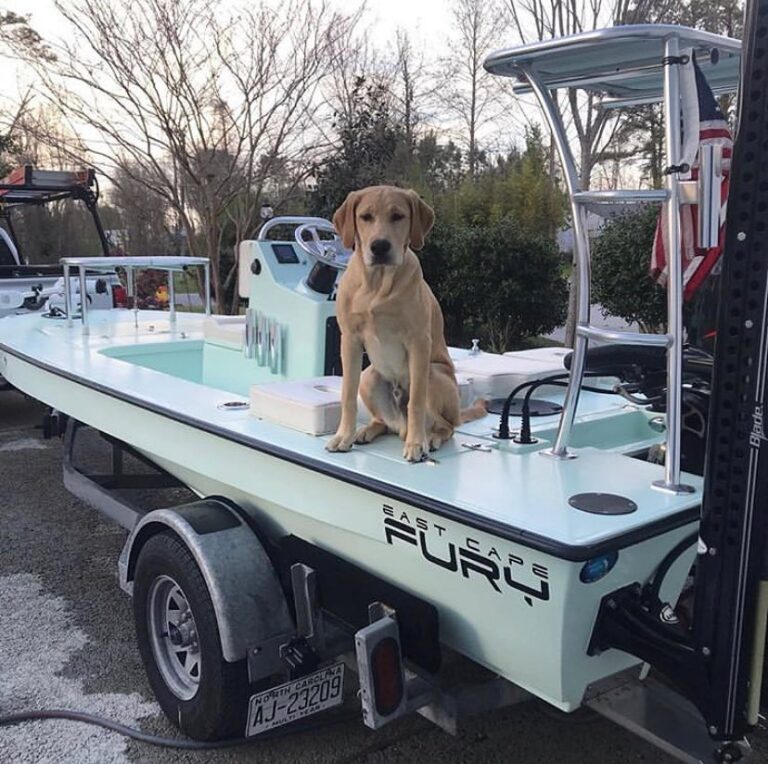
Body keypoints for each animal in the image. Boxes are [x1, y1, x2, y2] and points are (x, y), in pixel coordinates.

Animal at [326, 187, 484, 460]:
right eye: (365, 217)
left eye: (398, 216)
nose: (380, 246)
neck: (377, 284)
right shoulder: (350, 340)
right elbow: (347, 394)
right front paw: (343, 436)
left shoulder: (418, 342)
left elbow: (416, 401)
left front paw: (416, 444)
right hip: (370, 376)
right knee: (385, 422)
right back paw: (367, 430)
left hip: (434, 374)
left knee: (446, 425)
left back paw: (429, 437)